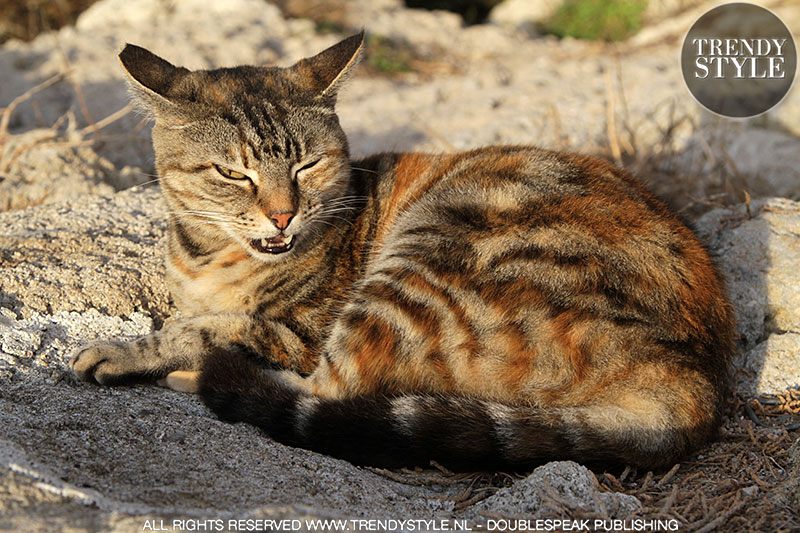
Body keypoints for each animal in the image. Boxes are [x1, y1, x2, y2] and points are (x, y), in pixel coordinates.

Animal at [72, 33, 736, 470]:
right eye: (233, 173)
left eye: (306, 165)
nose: (283, 214)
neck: (207, 258)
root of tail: (695, 379)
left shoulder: (298, 330)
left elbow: (203, 328)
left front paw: (124, 351)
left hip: (430, 251)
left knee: (327, 389)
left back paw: (196, 378)